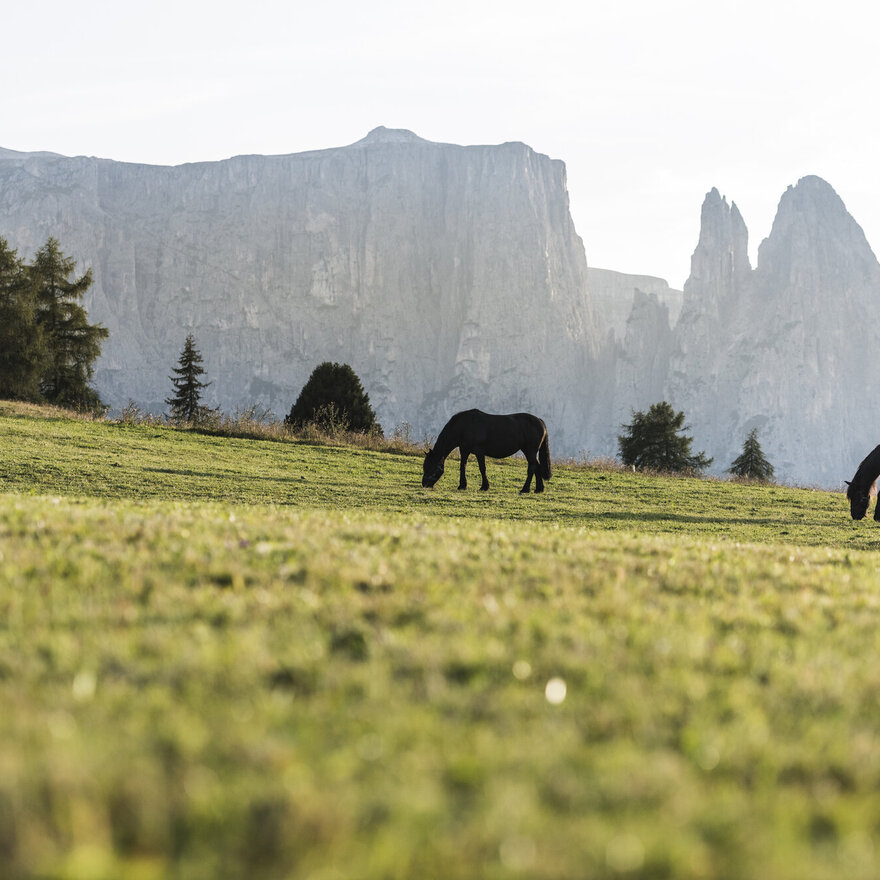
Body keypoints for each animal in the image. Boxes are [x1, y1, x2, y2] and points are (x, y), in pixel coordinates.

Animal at [422, 409, 552, 494]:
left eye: (432, 468)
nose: (424, 484)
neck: (465, 426)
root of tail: (540, 421)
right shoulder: (464, 450)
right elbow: (462, 466)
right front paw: (462, 485)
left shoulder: (479, 452)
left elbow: (482, 468)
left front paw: (484, 486)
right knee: (537, 466)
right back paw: (539, 489)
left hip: (530, 451)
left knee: (532, 467)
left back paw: (525, 489)